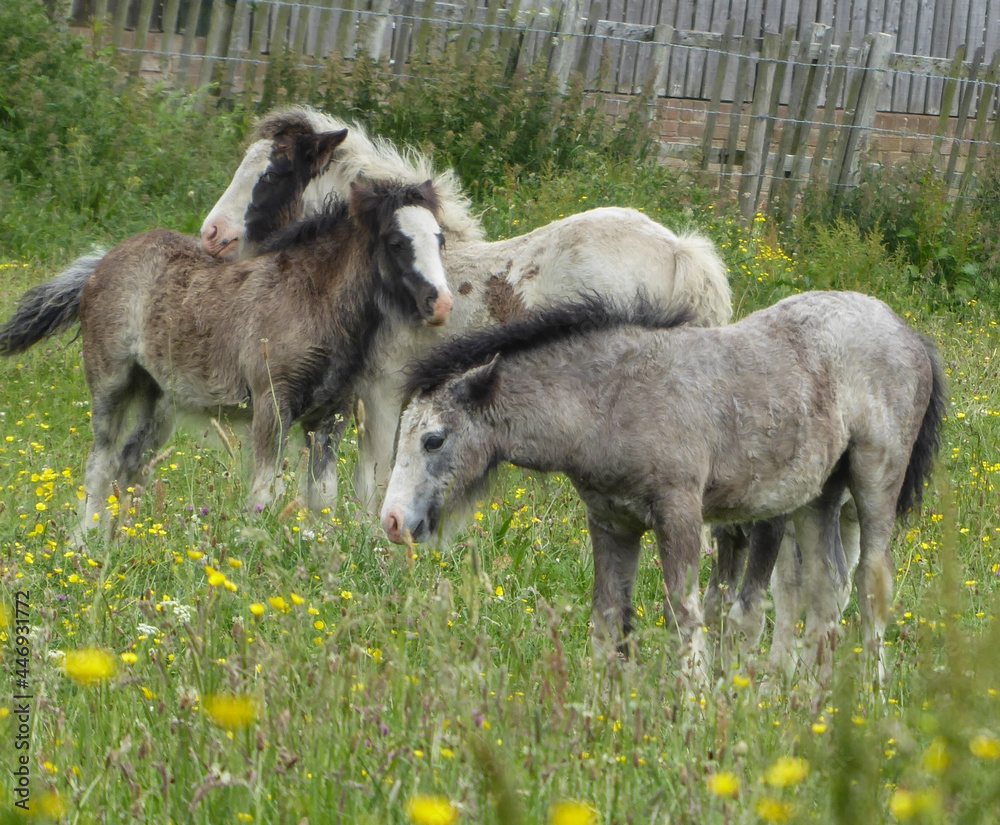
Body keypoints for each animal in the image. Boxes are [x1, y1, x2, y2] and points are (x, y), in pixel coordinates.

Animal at [0, 177, 450, 531]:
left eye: (440, 239)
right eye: (396, 241)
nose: (441, 304)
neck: (312, 300)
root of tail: (101, 263)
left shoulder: (331, 415)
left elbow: (322, 499)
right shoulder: (272, 406)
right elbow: (264, 493)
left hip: (157, 398)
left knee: (132, 462)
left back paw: (125, 538)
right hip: (111, 383)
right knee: (101, 464)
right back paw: (87, 541)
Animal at [380, 291, 945, 685]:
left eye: (433, 438)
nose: (392, 521)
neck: (613, 399)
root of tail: (908, 332)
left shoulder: (680, 515)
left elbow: (684, 613)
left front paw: (693, 704)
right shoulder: (612, 523)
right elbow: (609, 616)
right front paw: (600, 705)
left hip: (873, 483)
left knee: (869, 584)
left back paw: (868, 692)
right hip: (817, 496)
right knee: (825, 585)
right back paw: (803, 695)